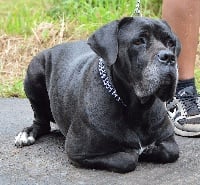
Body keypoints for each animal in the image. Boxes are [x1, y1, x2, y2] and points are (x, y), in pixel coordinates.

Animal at [15, 16, 181, 173]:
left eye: (170, 42)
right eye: (139, 41)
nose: (168, 57)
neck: (136, 108)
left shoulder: (168, 139)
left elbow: (171, 151)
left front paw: (149, 150)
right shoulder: (79, 152)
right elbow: (127, 159)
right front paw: (136, 152)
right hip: (34, 71)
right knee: (40, 121)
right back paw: (27, 134)